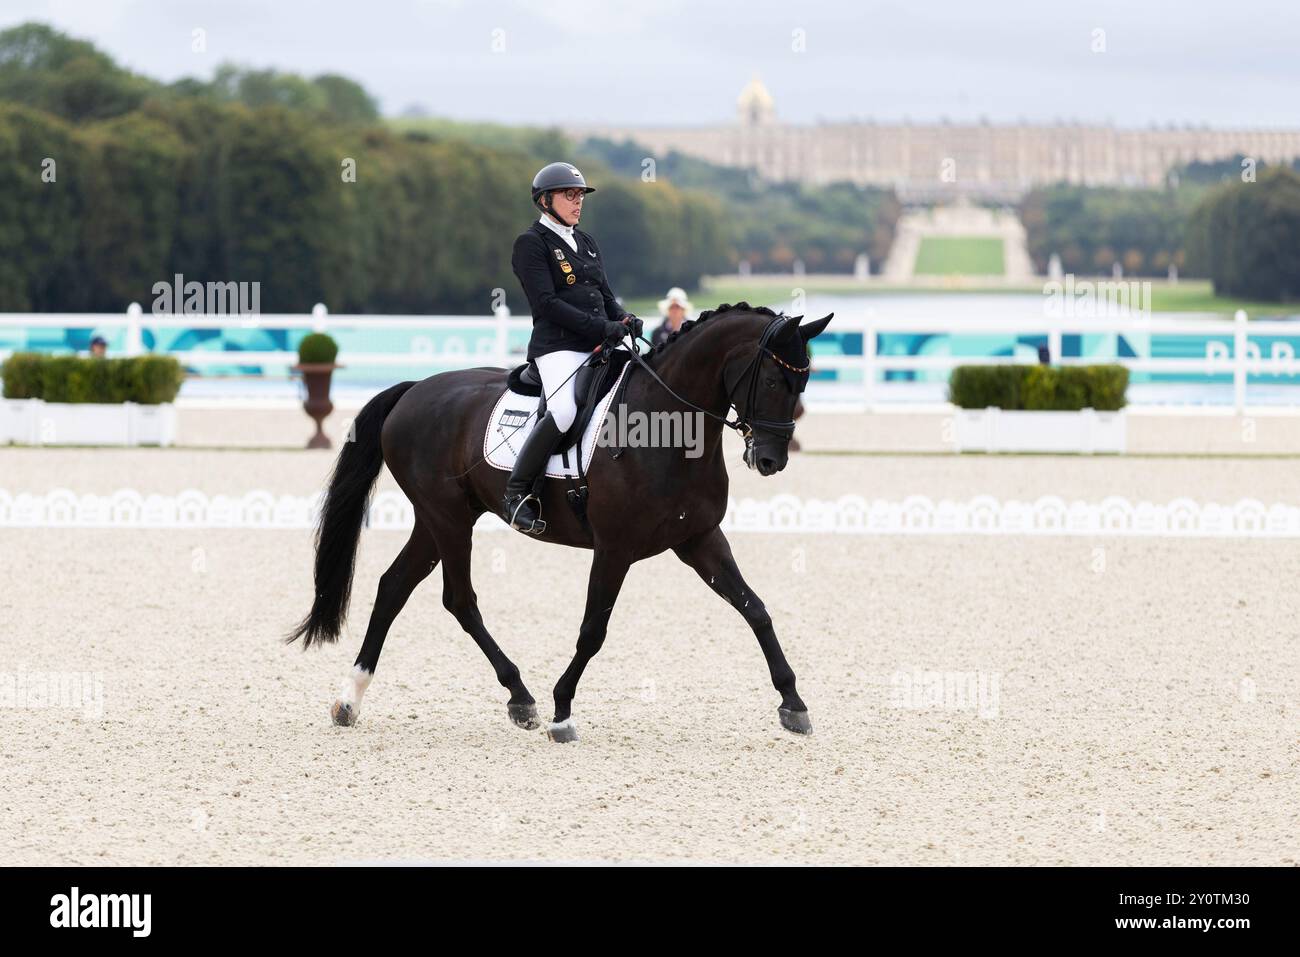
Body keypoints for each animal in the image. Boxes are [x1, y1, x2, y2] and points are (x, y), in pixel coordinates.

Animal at [287, 302, 832, 743]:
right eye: (772, 380)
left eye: (803, 383)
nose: (771, 460)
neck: (668, 425)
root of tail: (414, 389)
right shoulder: (615, 548)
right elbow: (593, 630)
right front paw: (562, 711)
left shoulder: (699, 539)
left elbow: (755, 609)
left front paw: (793, 704)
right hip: (447, 518)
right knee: (458, 599)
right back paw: (520, 697)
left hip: (439, 520)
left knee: (394, 586)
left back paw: (352, 700)